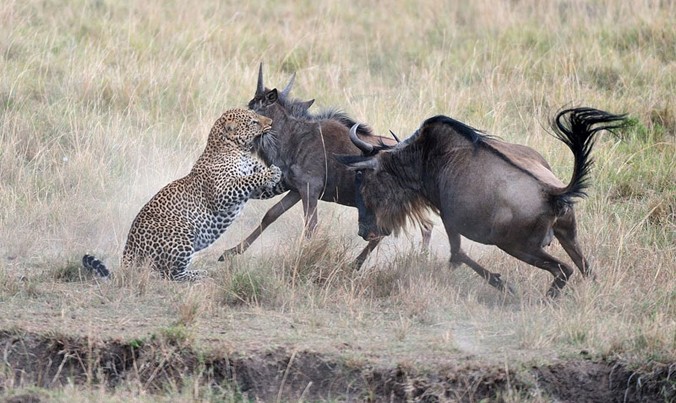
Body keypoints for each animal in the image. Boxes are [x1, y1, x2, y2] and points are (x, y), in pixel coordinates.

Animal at [83, 109, 284, 282]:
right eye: (253, 122)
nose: (271, 122)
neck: (238, 150)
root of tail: (128, 250)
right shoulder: (221, 192)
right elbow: (247, 180)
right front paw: (270, 173)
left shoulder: (256, 190)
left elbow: (266, 185)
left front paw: (280, 173)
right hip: (183, 229)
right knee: (169, 274)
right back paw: (199, 274)